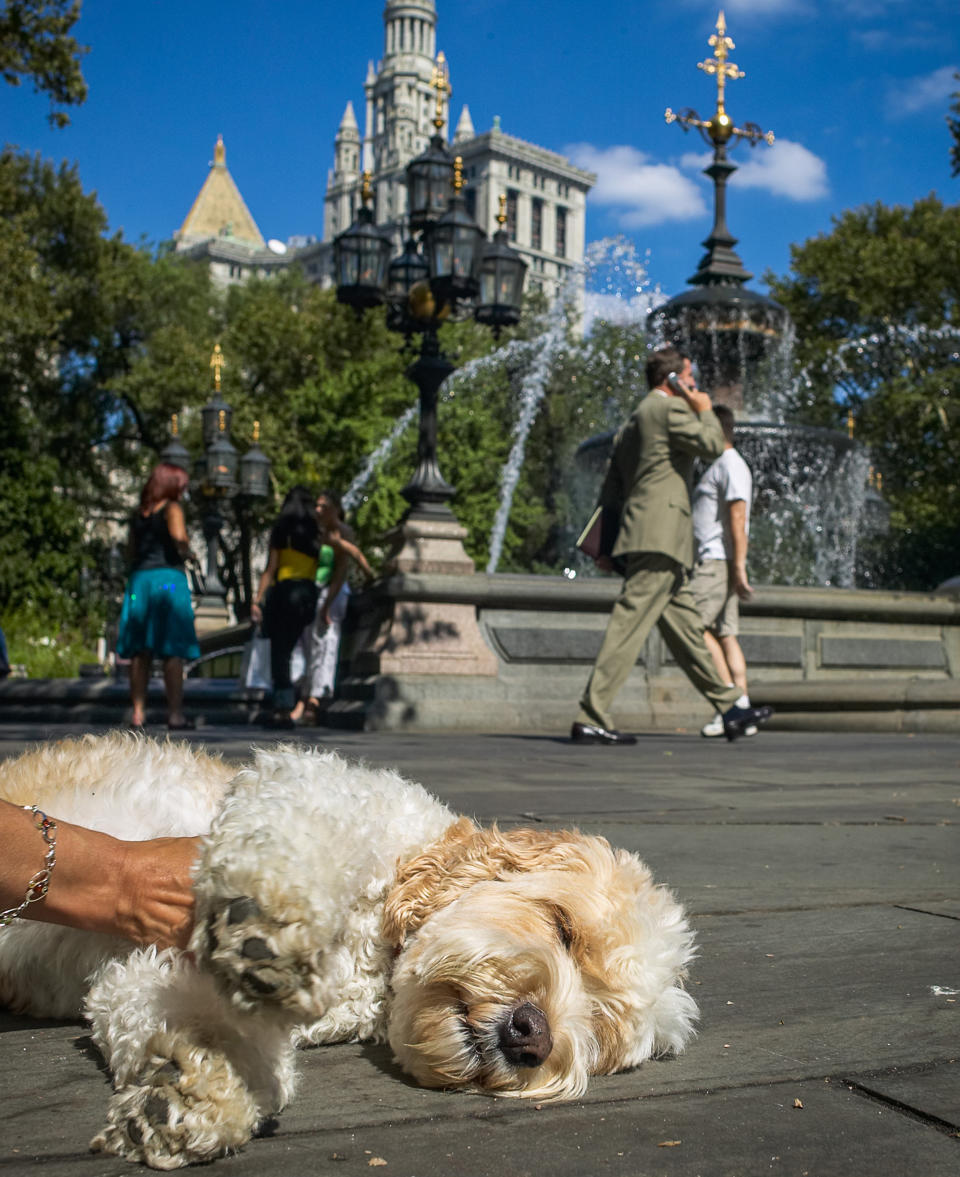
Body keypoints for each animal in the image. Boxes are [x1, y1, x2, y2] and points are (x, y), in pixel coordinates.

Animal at [0, 734, 691, 1167]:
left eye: (601, 1033)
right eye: (562, 925)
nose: (532, 1036)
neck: (373, 952)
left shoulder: (148, 977)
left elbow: (187, 1019)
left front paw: (192, 1095)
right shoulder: (306, 785)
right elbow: (295, 833)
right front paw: (271, 918)